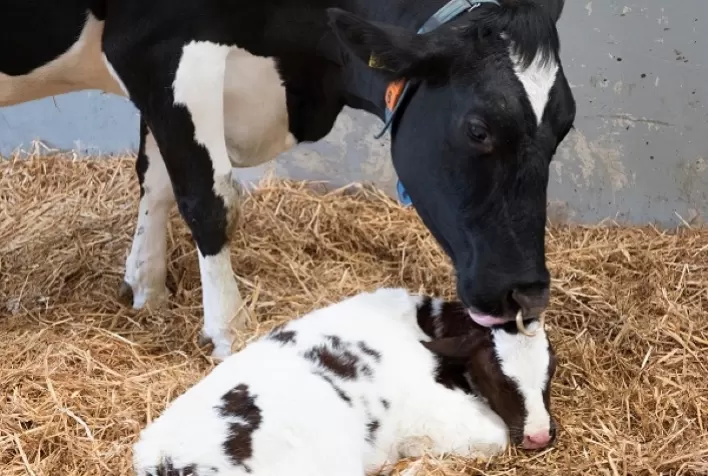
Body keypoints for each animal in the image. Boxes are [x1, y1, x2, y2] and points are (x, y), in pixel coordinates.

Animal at [0, 0, 576, 359]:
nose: (528, 297)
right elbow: (209, 198)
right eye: (479, 128)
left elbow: (157, 180)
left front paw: (147, 288)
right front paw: (229, 331)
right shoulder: (163, 48)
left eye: (566, 124)